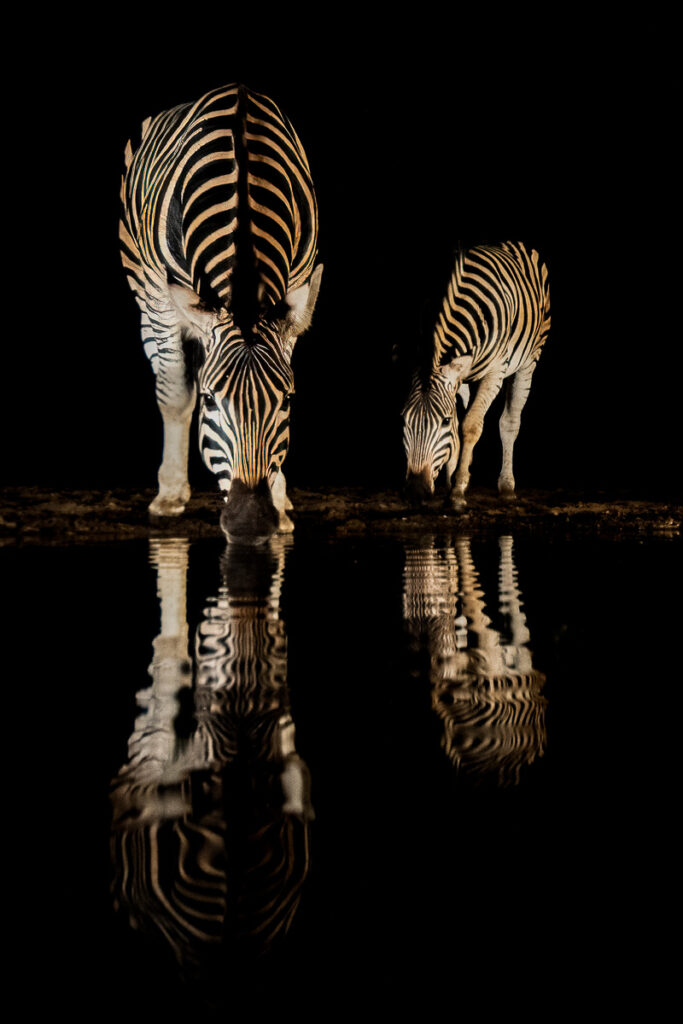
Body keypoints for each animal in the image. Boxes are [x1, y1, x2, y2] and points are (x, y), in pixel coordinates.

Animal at [119, 83, 323, 540]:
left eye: (287, 400)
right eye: (211, 400)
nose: (250, 523)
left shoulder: (294, 297)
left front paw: (280, 500)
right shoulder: (164, 302)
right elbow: (175, 394)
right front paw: (169, 496)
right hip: (145, 294)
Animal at [402, 242, 551, 505]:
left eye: (443, 421)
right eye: (404, 420)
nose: (415, 493)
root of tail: (507, 243)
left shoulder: (495, 371)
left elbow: (471, 425)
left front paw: (457, 491)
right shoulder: (456, 379)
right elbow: (459, 427)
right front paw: (454, 480)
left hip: (529, 360)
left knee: (510, 422)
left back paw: (507, 486)